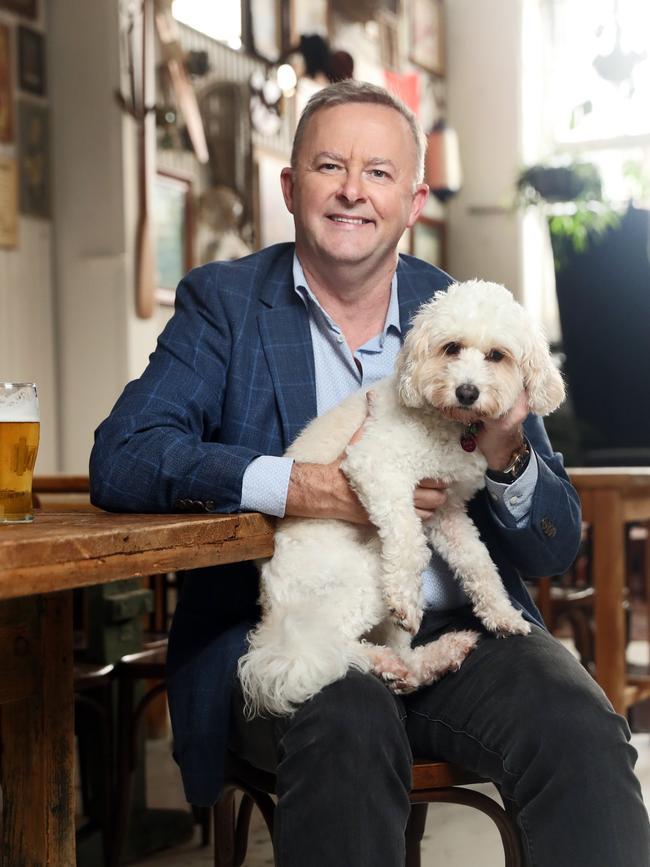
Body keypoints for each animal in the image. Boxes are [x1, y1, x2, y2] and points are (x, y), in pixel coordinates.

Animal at [238, 282, 560, 716]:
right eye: (451, 348)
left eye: (497, 355)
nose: (467, 392)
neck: (448, 424)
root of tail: (271, 609)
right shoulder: (376, 466)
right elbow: (409, 540)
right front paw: (406, 595)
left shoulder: (446, 511)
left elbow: (478, 561)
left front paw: (501, 614)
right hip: (359, 579)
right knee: (322, 647)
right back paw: (381, 660)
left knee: (390, 657)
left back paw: (429, 659)